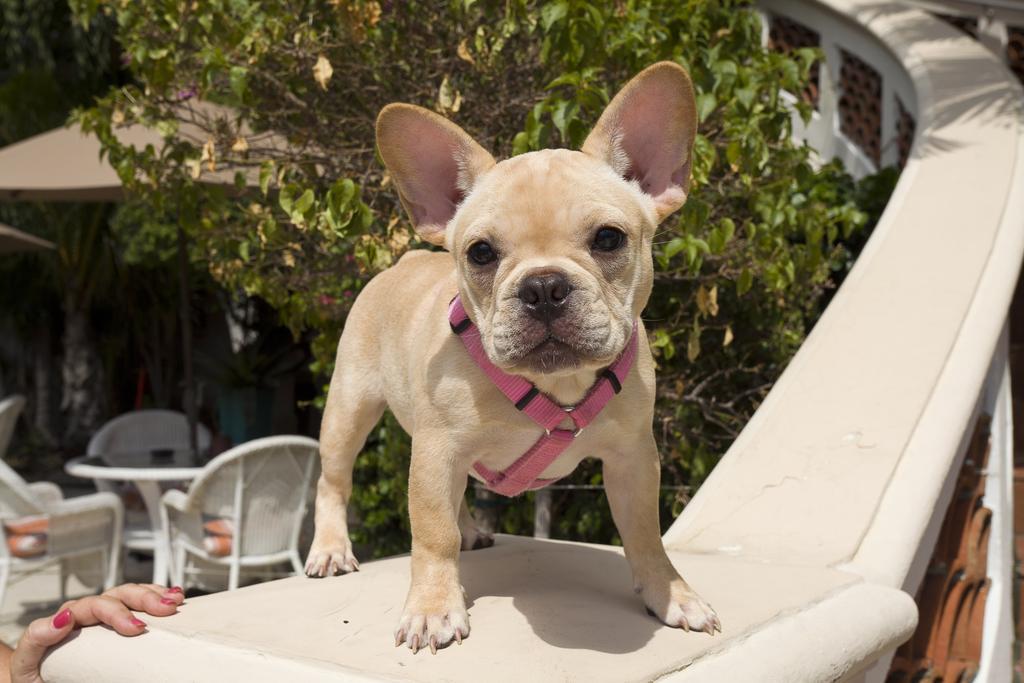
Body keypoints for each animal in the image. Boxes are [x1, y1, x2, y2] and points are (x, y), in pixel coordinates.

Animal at [305, 62, 720, 651]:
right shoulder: (436, 452)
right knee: (334, 481)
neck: (558, 389)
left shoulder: (633, 457)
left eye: (609, 239)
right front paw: (433, 608)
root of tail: (404, 260)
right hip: (349, 407)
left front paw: (671, 595)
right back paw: (331, 549)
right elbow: (432, 533)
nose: (543, 287)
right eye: (481, 253)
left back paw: (472, 531)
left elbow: (645, 533)